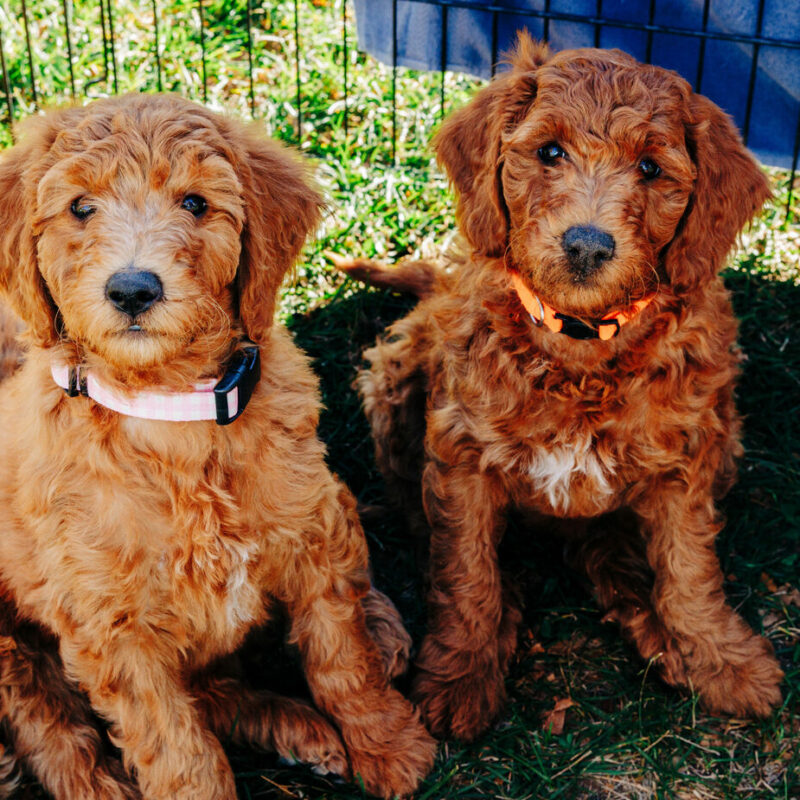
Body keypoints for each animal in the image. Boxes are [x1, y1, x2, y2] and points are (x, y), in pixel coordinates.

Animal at [0, 95, 434, 800]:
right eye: (80, 208)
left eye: (196, 203)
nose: (133, 289)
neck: (175, 412)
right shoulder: (111, 630)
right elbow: (177, 746)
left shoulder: (310, 534)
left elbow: (341, 657)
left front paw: (388, 746)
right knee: (46, 715)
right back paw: (97, 783)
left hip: (329, 499)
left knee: (222, 683)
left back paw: (353, 665)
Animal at [340, 34, 784, 740]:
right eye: (549, 152)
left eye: (651, 169)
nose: (587, 245)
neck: (580, 344)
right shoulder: (463, 456)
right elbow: (466, 572)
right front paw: (460, 675)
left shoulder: (685, 460)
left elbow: (689, 571)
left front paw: (724, 660)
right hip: (394, 378)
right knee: (430, 528)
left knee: (611, 549)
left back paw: (655, 625)